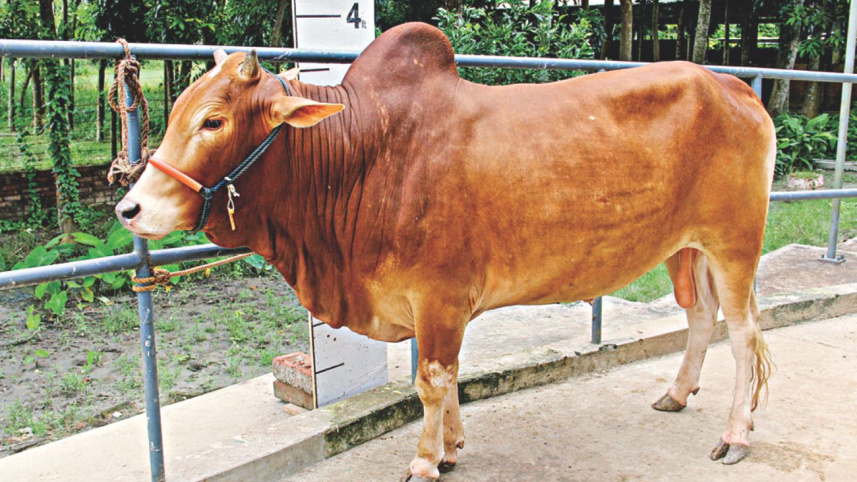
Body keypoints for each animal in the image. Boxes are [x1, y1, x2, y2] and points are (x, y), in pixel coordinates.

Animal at [115, 23, 776, 480]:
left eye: (213, 121)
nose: (130, 209)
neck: (363, 155)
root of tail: (729, 83)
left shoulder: (437, 297)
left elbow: (431, 381)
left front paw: (426, 460)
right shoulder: (442, 306)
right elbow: (451, 377)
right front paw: (453, 448)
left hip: (734, 243)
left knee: (745, 333)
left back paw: (737, 435)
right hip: (687, 248)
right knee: (701, 316)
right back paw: (677, 393)